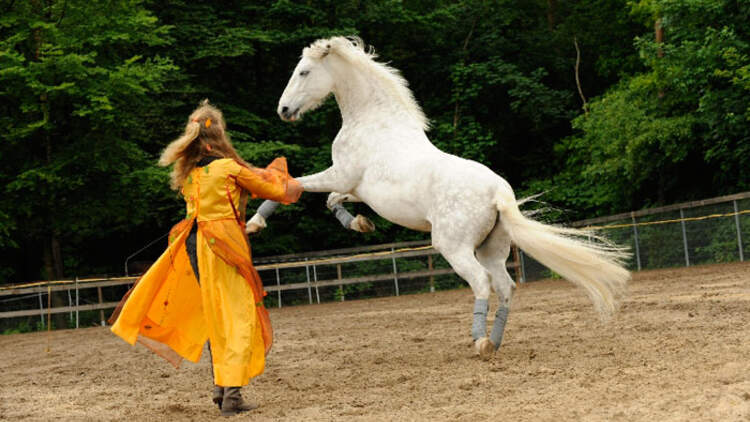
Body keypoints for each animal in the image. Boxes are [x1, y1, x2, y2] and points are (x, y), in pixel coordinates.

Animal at [250, 36, 629, 359]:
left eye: (304, 71)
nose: (284, 109)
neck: (373, 122)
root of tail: (498, 191)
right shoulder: (354, 188)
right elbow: (331, 201)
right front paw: (360, 224)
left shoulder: (340, 174)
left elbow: (292, 186)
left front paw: (255, 223)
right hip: (492, 249)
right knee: (505, 286)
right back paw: (494, 342)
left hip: (454, 247)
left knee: (482, 283)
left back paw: (480, 342)